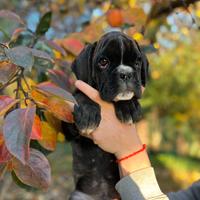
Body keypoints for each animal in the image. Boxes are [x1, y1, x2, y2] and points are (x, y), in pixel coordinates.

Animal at [62, 31, 148, 200]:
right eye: (103, 62)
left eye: (137, 62)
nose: (125, 74)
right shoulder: (67, 129)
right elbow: (81, 96)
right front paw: (88, 113)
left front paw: (128, 106)